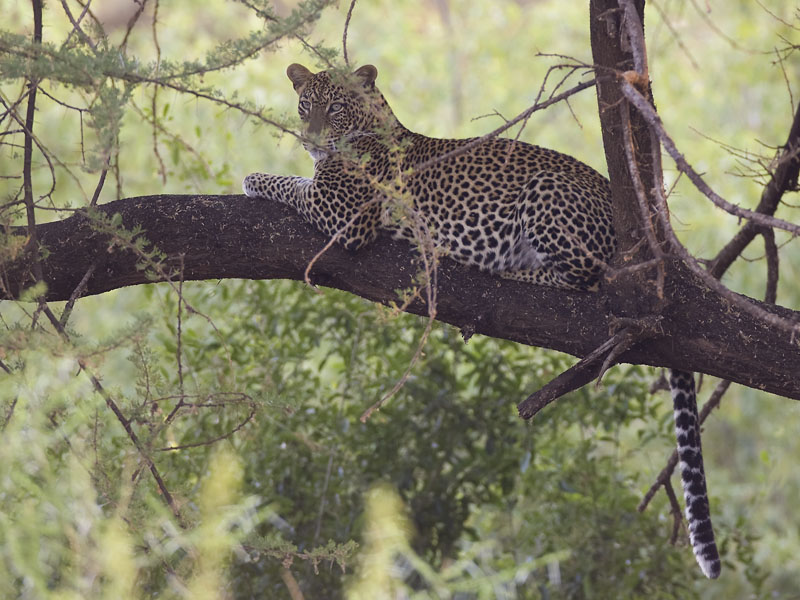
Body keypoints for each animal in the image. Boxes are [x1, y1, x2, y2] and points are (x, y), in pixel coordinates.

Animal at [241, 62, 720, 580]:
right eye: (305, 105)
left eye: (334, 108)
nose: (309, 136)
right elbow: (296, 180)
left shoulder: (344, 214)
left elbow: (290, 184)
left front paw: (251, 177)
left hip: (547, 192)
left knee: (589, 277)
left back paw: (508, 267)